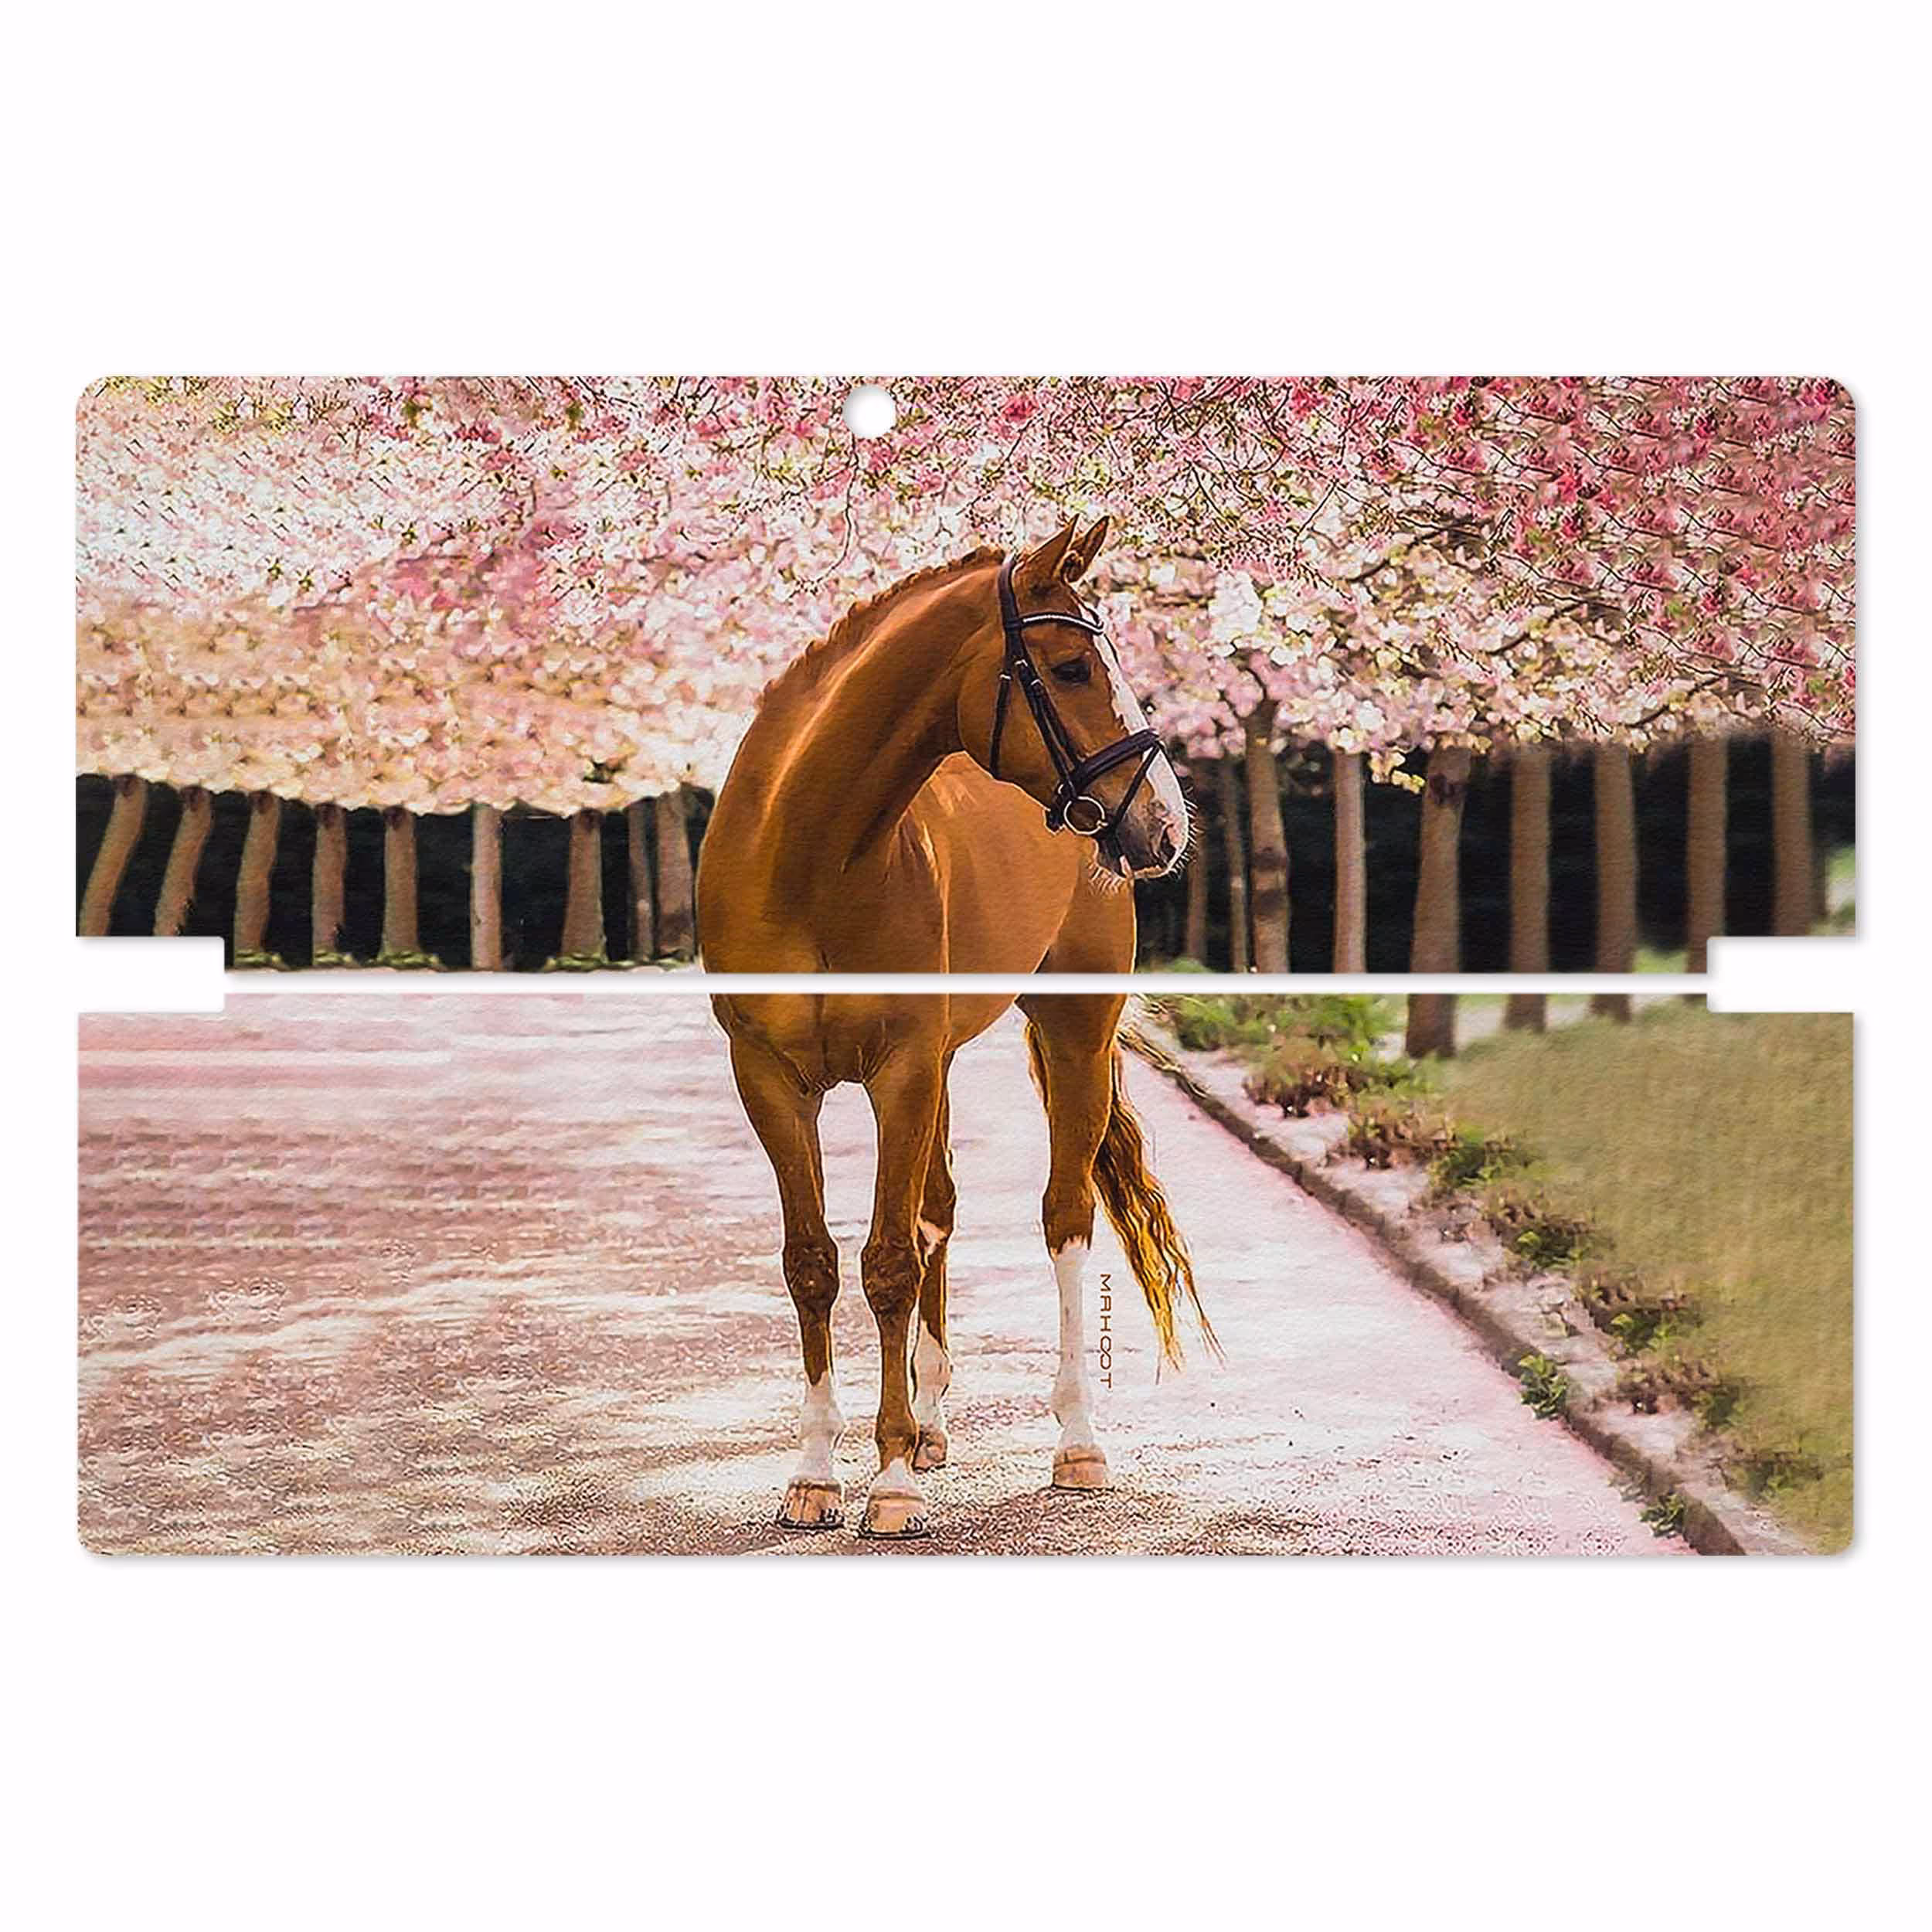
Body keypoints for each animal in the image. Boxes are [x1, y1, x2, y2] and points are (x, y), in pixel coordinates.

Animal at [698, 517, 1216, 1537]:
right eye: (1069, 667)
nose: (1164, 826)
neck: (808, 856)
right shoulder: (769, 1077)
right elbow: (814, 1262)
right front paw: (816, 1474)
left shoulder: (899, 1068)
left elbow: (889, 1261)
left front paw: (890, 1481)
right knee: (938, 1207)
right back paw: (932, 1422)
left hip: (1071, 1034)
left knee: (1063, 1217)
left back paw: (1073, 1442)